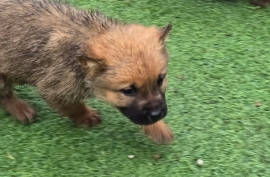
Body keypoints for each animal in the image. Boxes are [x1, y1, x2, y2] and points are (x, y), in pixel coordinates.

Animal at [0, 0, 173, 144]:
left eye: (160, 80)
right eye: (128, 91)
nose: (157, 114)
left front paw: (158, 127)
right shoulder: (55, 89)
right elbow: (73, 107)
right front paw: (86, 116)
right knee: (5, 93)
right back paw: (20, 108)